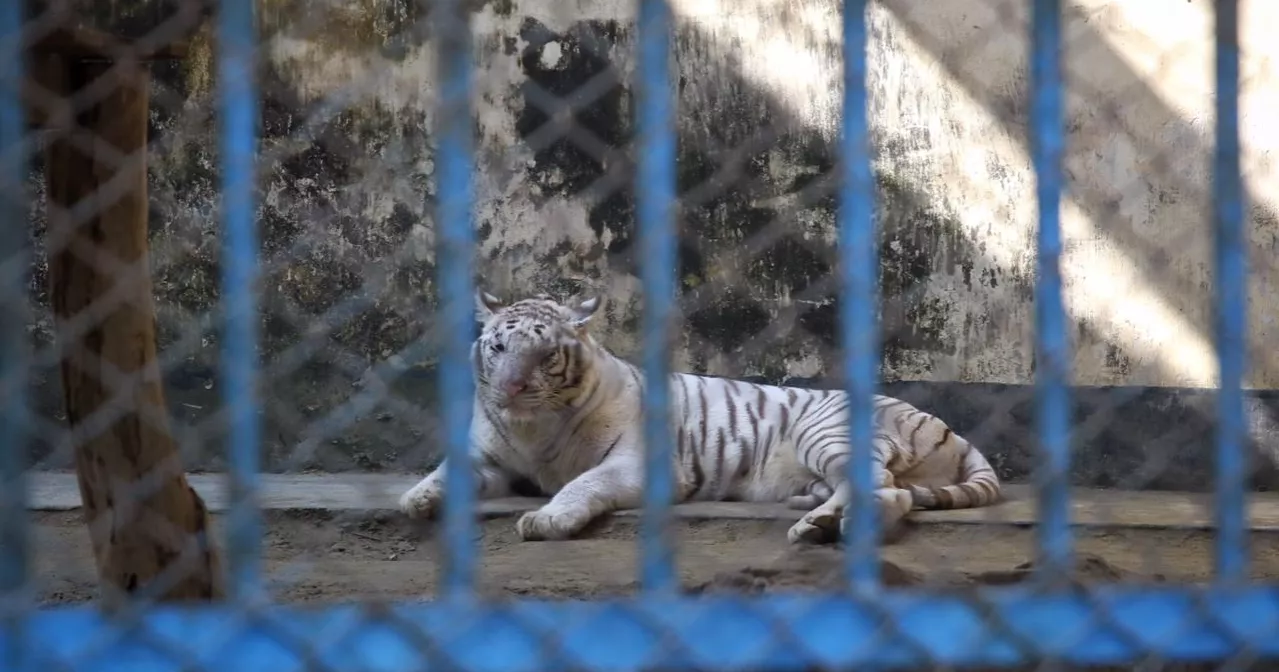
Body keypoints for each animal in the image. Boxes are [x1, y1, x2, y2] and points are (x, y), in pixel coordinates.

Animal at [398, 291, 1002, 544]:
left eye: (545, 354)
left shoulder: (636, 464)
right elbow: (445, 472)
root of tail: (943, 425)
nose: (511, 388)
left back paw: (828, 526)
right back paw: (814, 515)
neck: (534, 425)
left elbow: (581, 484)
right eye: (498, 348)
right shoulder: (489, 457)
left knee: (886, 490)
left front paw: (546, 519)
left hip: (826, 432)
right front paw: (416, 499)